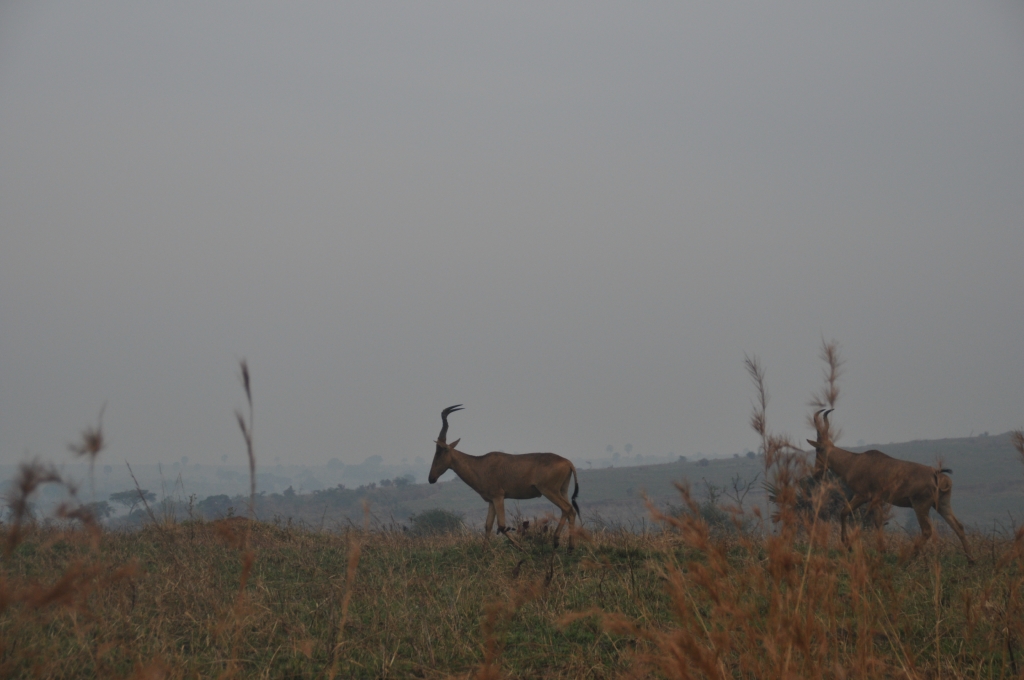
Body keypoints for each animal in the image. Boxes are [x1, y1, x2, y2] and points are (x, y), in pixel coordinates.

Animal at [425, 405, 585, 548]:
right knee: (569, 510)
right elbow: (488, 526)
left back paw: (562, 543)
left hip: (549, 491)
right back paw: (567, 546)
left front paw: (522, 548)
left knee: (568, 509)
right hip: (562, 490)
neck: (481, 463)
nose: (431, 478)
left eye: (440, 451)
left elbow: (501, 526)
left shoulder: (498, 497)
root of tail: (568, 462)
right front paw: (484, 553)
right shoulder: (491, 500)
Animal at [802, 409, 970, 561]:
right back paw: (971, 560)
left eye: (818, 449)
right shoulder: (876, 500)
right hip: (941, 504)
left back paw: (908, 558)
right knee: (958, 526)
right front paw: (880, 550)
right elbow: (876, 521)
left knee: (927, 530)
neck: (855, 461)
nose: (816, 473)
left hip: (920, 505)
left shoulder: (863, 496)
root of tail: (936, 474)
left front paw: (849, 545)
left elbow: (845, 513)